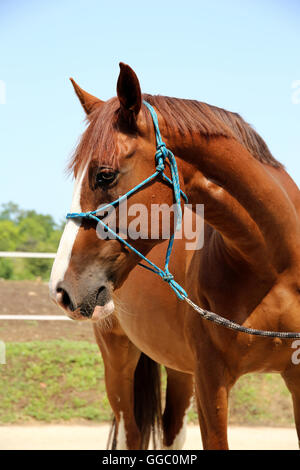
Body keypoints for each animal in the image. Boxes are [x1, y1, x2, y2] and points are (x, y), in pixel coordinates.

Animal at [49, 62, 300, 448]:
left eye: (104, 175)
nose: (60, 289)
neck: (272, 266)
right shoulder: (211, 382)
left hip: (179, 369)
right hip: (118, 363)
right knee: (133, 432)